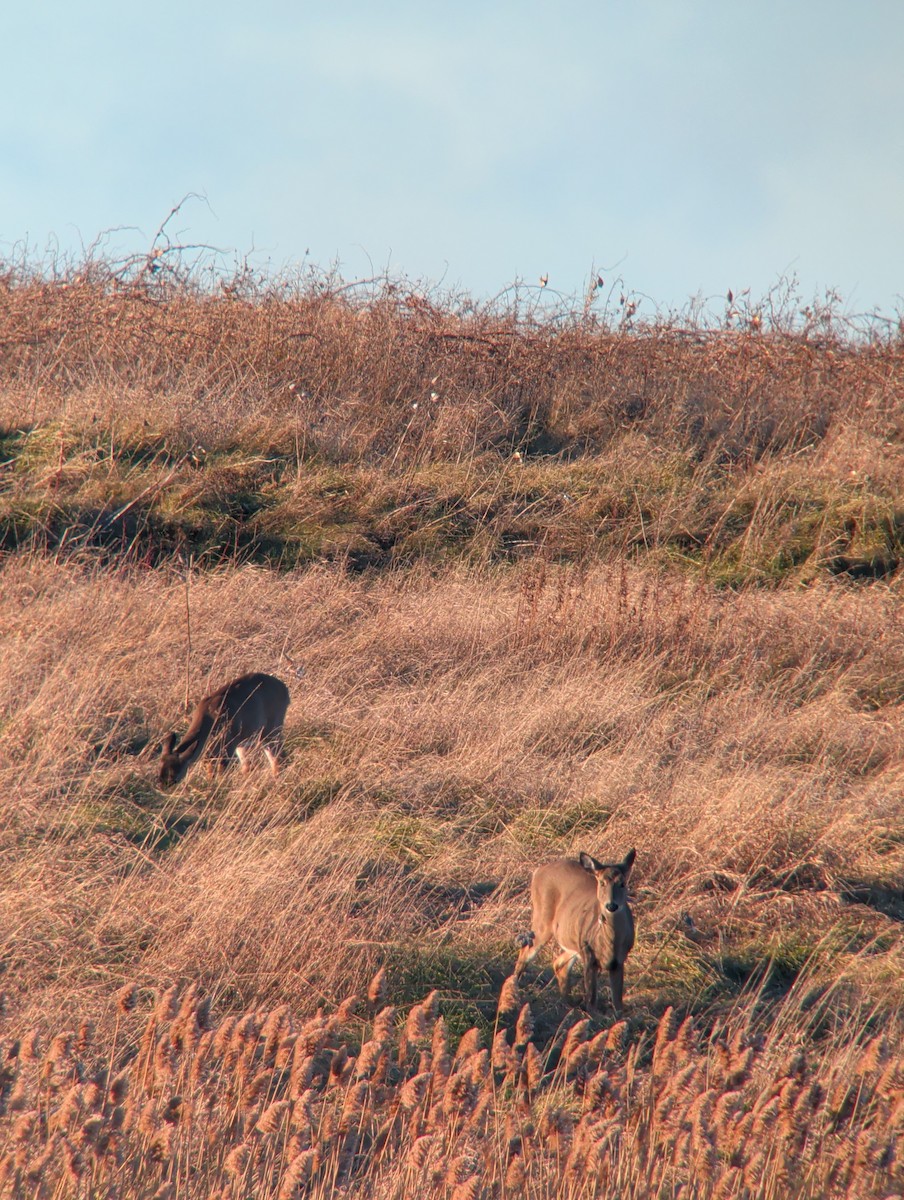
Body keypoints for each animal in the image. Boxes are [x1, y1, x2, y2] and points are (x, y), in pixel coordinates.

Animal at [158, 672, 290, 787]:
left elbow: (221, 773)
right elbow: (210, 773)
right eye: (160, 767)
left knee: (278, 758)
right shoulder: (212, 754)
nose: (161, 785)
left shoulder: (229, 746)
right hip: (247, 741)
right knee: (249, 766)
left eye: (174, 771)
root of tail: (286, 690)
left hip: (272, 729)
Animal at [514, 848, 636, 1015]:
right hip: (542, 919)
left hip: (571, 939)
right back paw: (514, 988)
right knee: (526, 951)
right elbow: (591, 1001)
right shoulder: (588, 954)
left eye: (623, 883)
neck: (610, 942)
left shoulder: (619, 960)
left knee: (559, 964)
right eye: (601, 882)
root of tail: (539, 870)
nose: (611, 905)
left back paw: (566, 1003)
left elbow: (618, 1004)